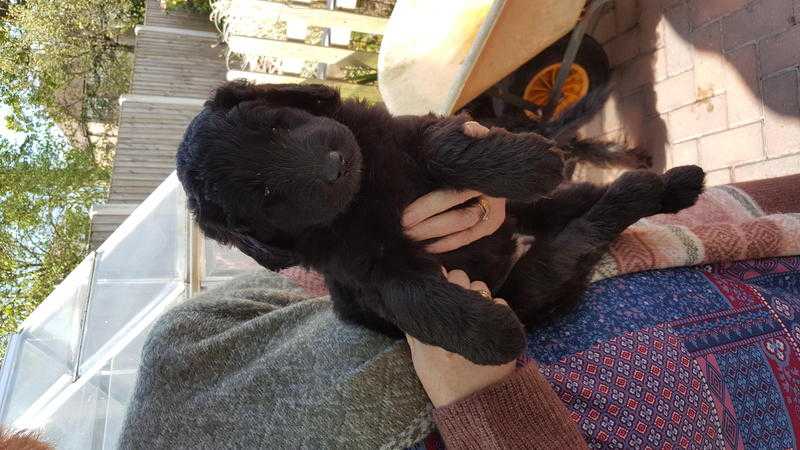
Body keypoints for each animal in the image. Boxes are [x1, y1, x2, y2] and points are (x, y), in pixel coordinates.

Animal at [178, 81, 704, 366]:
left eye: (276, 124)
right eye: (266, 195)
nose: (334, 164)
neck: (364, 192)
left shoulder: (404, 133)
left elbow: (444, 148)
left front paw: (529, 164)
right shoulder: (372, 270)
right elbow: (418, 300)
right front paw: (497, 335)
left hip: (531, 212)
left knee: (585, 201)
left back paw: (672, 184)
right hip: (546, 268)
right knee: (592, 225)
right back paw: (652, 190)